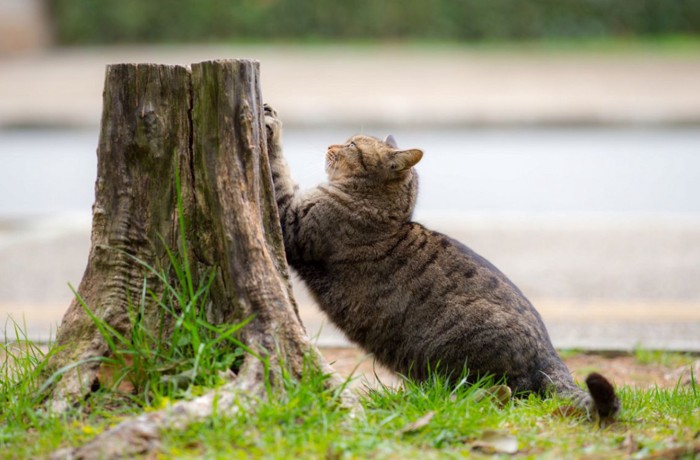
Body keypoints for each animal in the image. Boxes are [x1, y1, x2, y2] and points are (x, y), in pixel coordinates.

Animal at [262, 105, 616, 420]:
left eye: (352, 145)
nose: (330, 145)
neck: (386, 212)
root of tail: (551, 353)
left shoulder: (291, 221)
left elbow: (278, 170)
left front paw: (270, 123)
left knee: (506, 393)